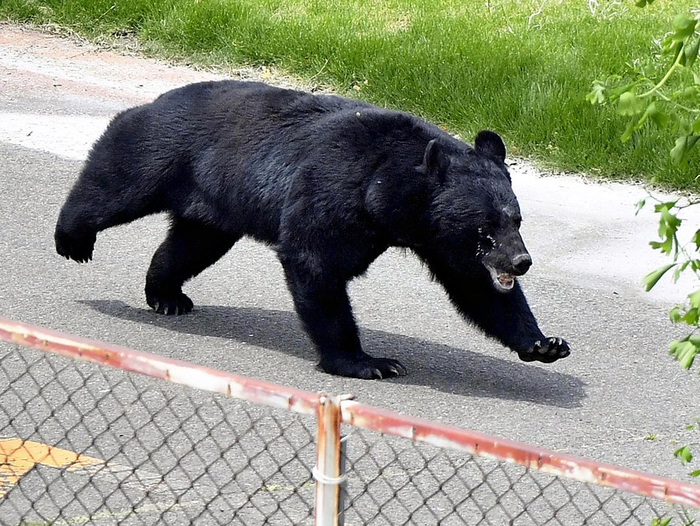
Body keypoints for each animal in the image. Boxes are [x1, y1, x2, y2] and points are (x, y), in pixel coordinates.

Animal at [55, 80, 570, 379]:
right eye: (486, 225)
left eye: (515, 219)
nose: (521, 261)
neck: (386, 190)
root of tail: (160, 96)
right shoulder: (335, 188)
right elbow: (316, 263)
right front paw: (368, 362)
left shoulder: (437, 236)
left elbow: (476, 287)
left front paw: (546, 344)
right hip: (166, 150)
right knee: (118, 180)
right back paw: (72, 239)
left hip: (215, 204)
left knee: (190, 244)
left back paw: (166, 294)